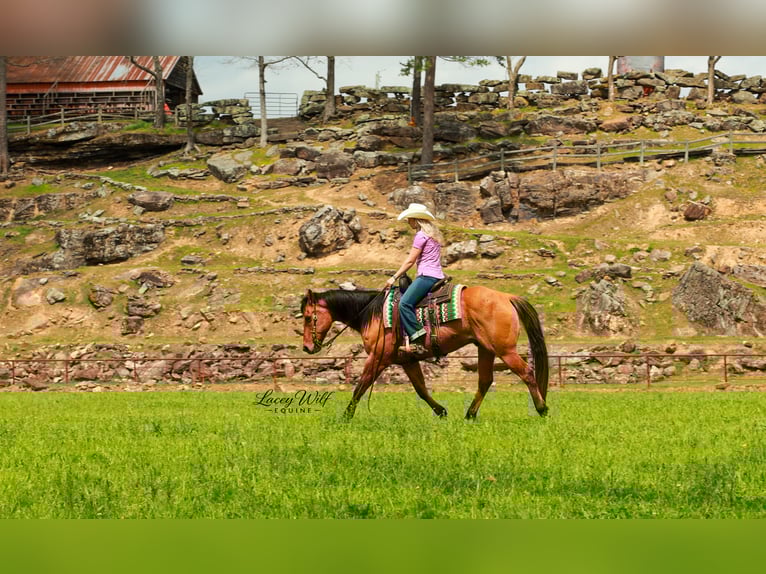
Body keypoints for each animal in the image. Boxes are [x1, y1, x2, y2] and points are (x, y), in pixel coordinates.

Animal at [300, 284, 549, 421]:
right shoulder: (407, 360)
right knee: (485, 381)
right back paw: (469, 414)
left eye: (307, 317)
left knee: (527, 373)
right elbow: (420, 389)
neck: (373, 313)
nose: (307, 347)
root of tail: (506, 297)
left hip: (505, 350)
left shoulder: (378, 358)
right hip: (486, 349)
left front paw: (346, 416)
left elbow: (359, 387)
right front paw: (441, 411)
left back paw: (542, 409)